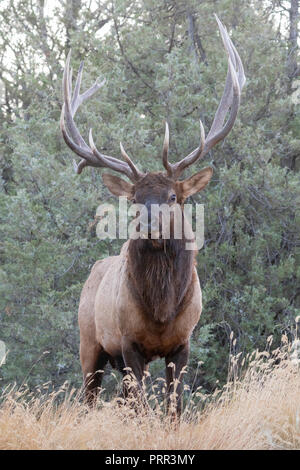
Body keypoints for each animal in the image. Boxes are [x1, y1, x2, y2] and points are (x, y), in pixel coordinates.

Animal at [59, 14, 245, 414]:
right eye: (134, 198)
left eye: (173, 195)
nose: (149, 224)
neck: (162, 312)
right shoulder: (129, 343)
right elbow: (144, 407)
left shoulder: (182, 343)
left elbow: (174, 407)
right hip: (89, 343)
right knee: (91, 398)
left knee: (122, 399)